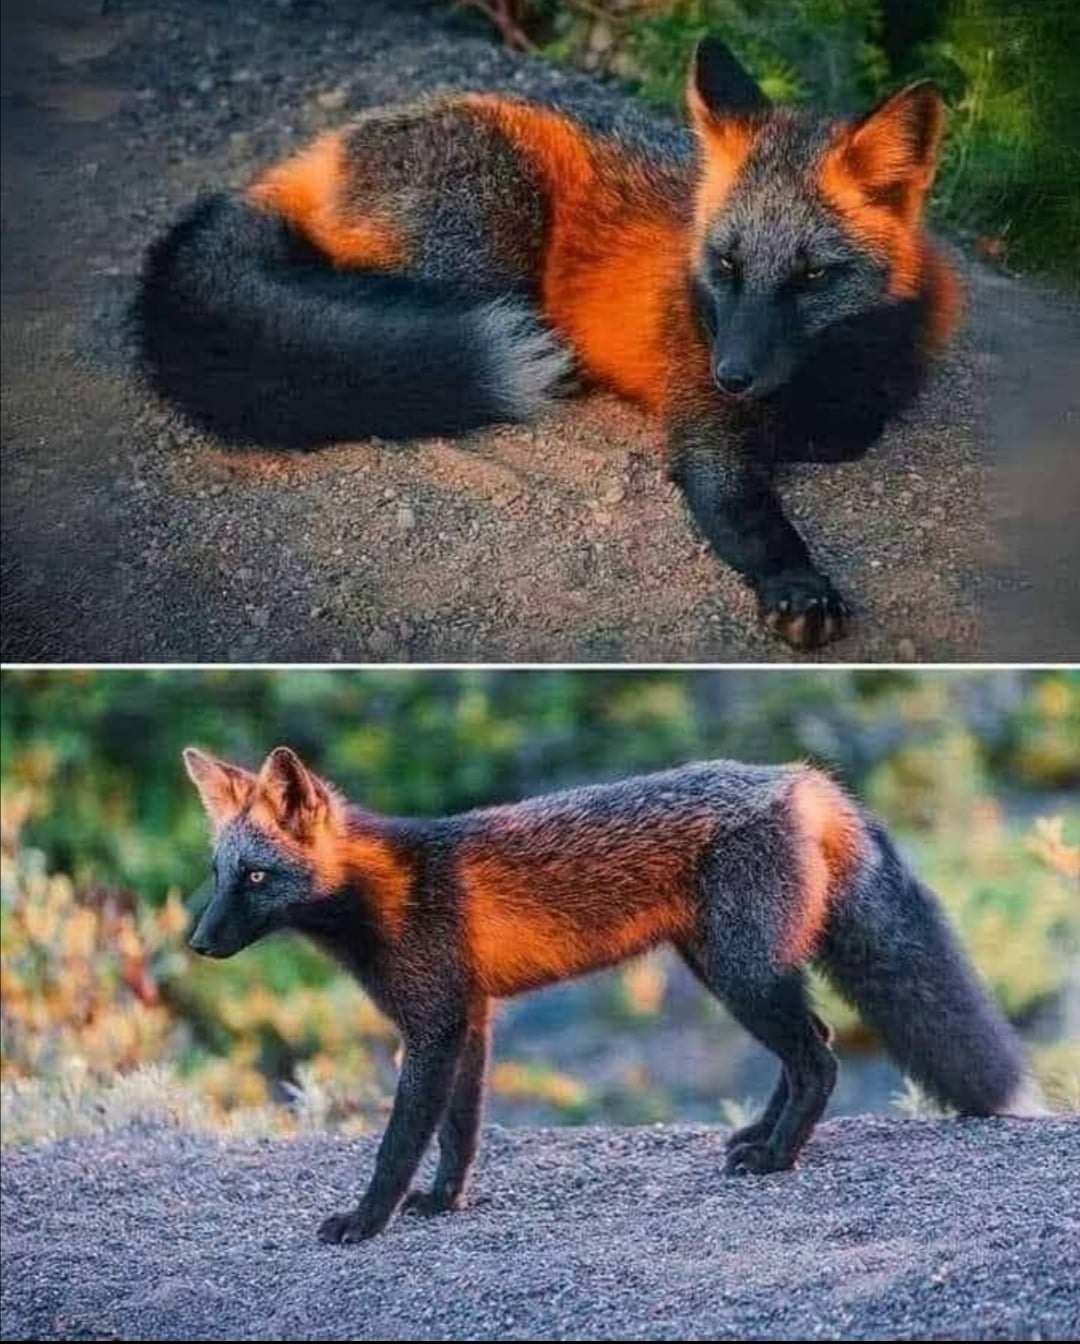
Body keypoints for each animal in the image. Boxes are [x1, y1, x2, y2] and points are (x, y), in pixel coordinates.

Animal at [138, 39, 962, 651]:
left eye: (813, 276)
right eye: (726, 264)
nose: (731, 373)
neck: (824, 375)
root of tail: (323, 148)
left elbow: (855, 429)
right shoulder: (701, 424)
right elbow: (747, 511)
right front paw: (795, 583)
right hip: (489, 241)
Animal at [183, 744, 1041, 1244]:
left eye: (255, 878)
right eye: (219, 875)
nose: (197, 943)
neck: (390, 895)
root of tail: (800, 780)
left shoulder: (431, 1026)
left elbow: (399, 1143)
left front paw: (367, 1220)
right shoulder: (471, 1019)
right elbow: (459, 1133)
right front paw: (444, 1202)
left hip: (743, 974)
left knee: (820, 1058)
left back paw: (776, 1158)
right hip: (728, 967)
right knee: (809, 1051)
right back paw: (759, 1139)